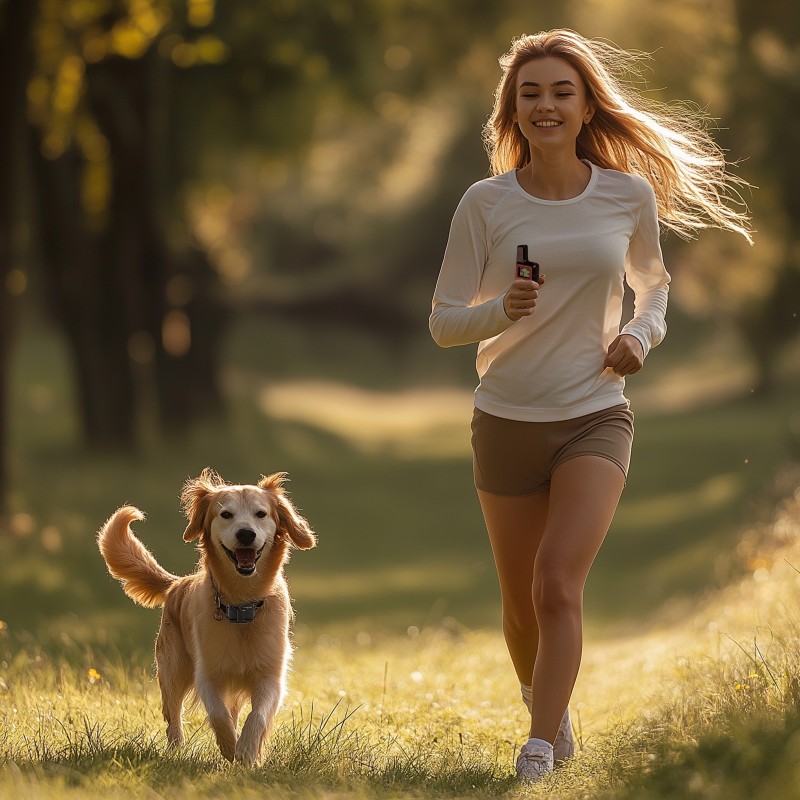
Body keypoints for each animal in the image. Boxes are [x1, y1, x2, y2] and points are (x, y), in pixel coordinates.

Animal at [95, 468, 314, 768]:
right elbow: (218, 715)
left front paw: (248, 751)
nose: (246, 534)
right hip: (172, 670)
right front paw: (231, 748)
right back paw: (176, 752)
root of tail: (177, 583)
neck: (241, 606)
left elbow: (257, 715)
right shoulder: (207, 674)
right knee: (173, 718)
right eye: (225, 514)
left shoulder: (270, 675)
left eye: (261, 514)